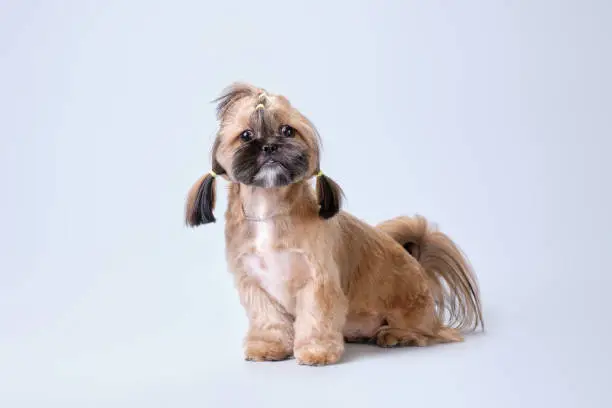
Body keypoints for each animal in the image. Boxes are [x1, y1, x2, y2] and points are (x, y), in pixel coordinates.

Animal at [184, 83, 486, 366]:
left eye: (287, 131)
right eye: (246, 135)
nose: (269, 145)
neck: (269, 209)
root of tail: (418, 264)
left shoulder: (318, 281)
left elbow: (315, 317)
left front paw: (317, 351)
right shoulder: (254, 283)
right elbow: (268, 319)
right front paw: (268, 347)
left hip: (412, 311)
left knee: (432, 334)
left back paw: (396, 335)